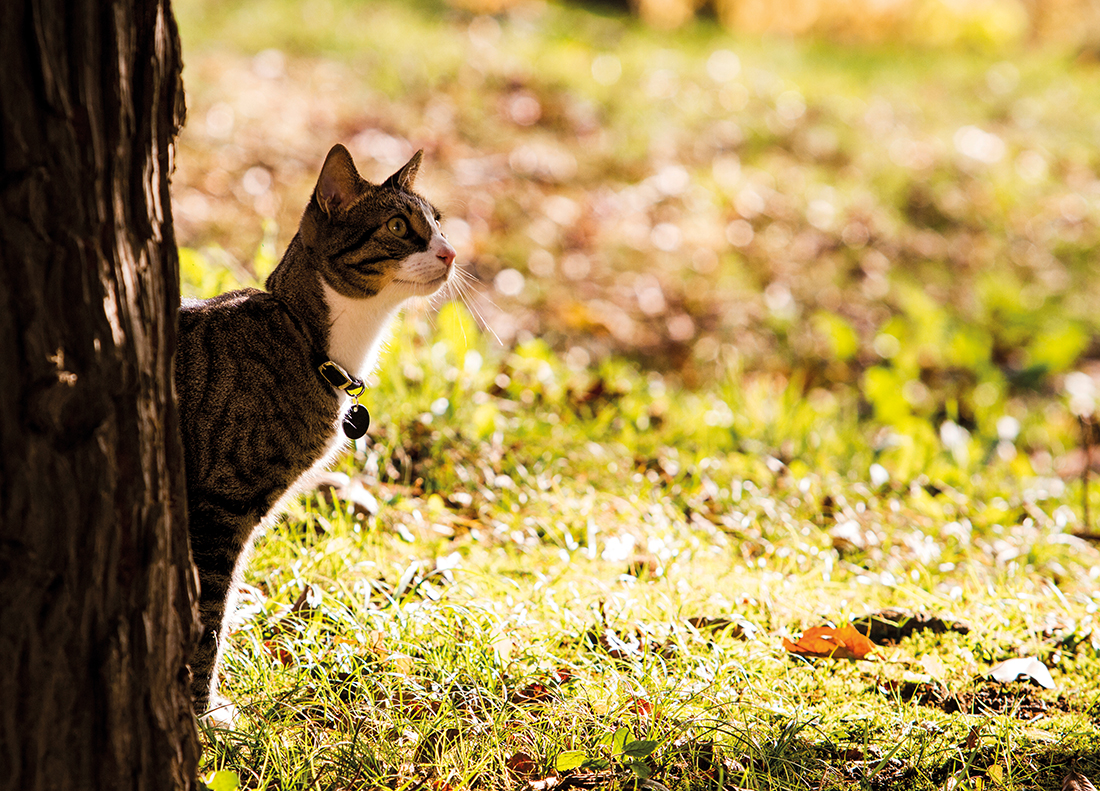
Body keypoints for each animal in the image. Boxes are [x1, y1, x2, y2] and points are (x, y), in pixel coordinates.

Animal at [174, 144, 455, 717]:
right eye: (398, 225)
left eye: (438, 223)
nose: (451, 253)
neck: (307, 338)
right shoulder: (218, 509)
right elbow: (211, 611)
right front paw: (204, 712)